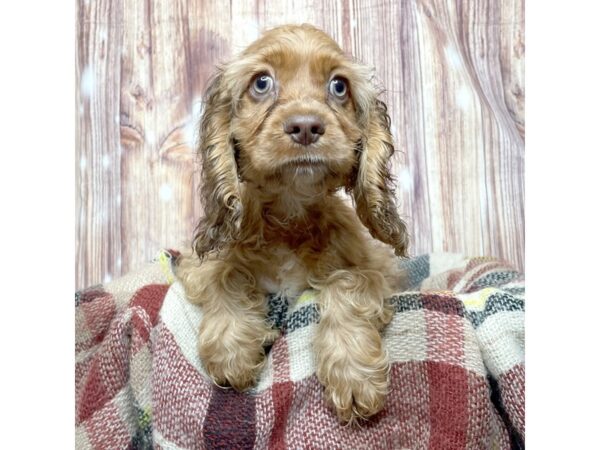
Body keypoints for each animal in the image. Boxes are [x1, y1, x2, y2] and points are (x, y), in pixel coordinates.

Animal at [178, 22, 410, 424]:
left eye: (339, 86)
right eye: (261, 83)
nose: (305, 126)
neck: (289, 215)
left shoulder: (378, 268)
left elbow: (346, 283)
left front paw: (353, 375)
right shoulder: (197, 266)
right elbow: (226, 275)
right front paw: (232, 353)